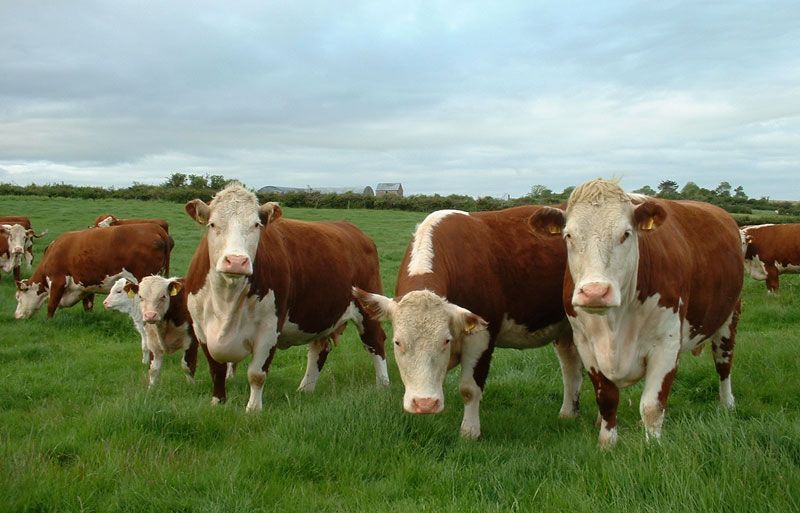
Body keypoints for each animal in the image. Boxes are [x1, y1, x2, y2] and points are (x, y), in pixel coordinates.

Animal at [15, 223, 173, 319]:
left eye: (18, 297)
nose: (16, 316)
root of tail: (154, 228)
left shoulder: (57, 281)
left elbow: (51, 305)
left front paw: (49, 321)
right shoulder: (86, 286)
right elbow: (88, 306)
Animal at [184, 182, 388, 411]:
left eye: (256, 225)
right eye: (212, 224)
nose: (236, 261)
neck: (226, 298)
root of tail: (351, 228)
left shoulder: (269, 327)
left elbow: (257, 374)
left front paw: (253, 410)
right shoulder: (201, 329)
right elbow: (216, 370)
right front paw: (218, 402)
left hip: (366, 305)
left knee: (375, 341)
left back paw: (383, 385)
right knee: (320, 349)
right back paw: (305, 390)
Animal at [353, 207, 583, 439]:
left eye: (445, 341)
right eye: (398, 342)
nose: (424, 404)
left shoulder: (481, 336)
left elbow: (469, 389)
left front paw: (470, 431)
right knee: (570, 367)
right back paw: (568, 412)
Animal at [529, 179, 743, 447]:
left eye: (625, 234)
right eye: (569, 235)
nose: (595, 292)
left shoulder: (666, 345)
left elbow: (652, 406)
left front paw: (653, 445)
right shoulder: (586, 345)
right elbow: (607, 399)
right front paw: (606, 443)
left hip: (729, 318)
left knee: (724, 364)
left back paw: (727, 404)